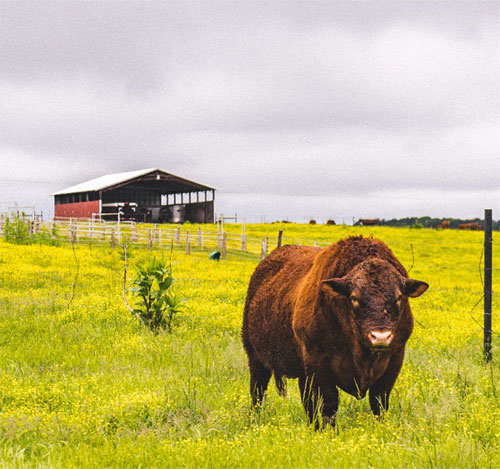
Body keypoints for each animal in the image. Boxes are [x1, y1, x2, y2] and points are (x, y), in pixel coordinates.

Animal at [240, 236, 428, 426]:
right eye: (354, 297)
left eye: (399, 297)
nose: (380, 337)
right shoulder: (318, 362)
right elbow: (328, 405)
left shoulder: (395, 358)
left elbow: (379, 402)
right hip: (255, 357)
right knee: (257, 392)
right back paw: (253, 420)